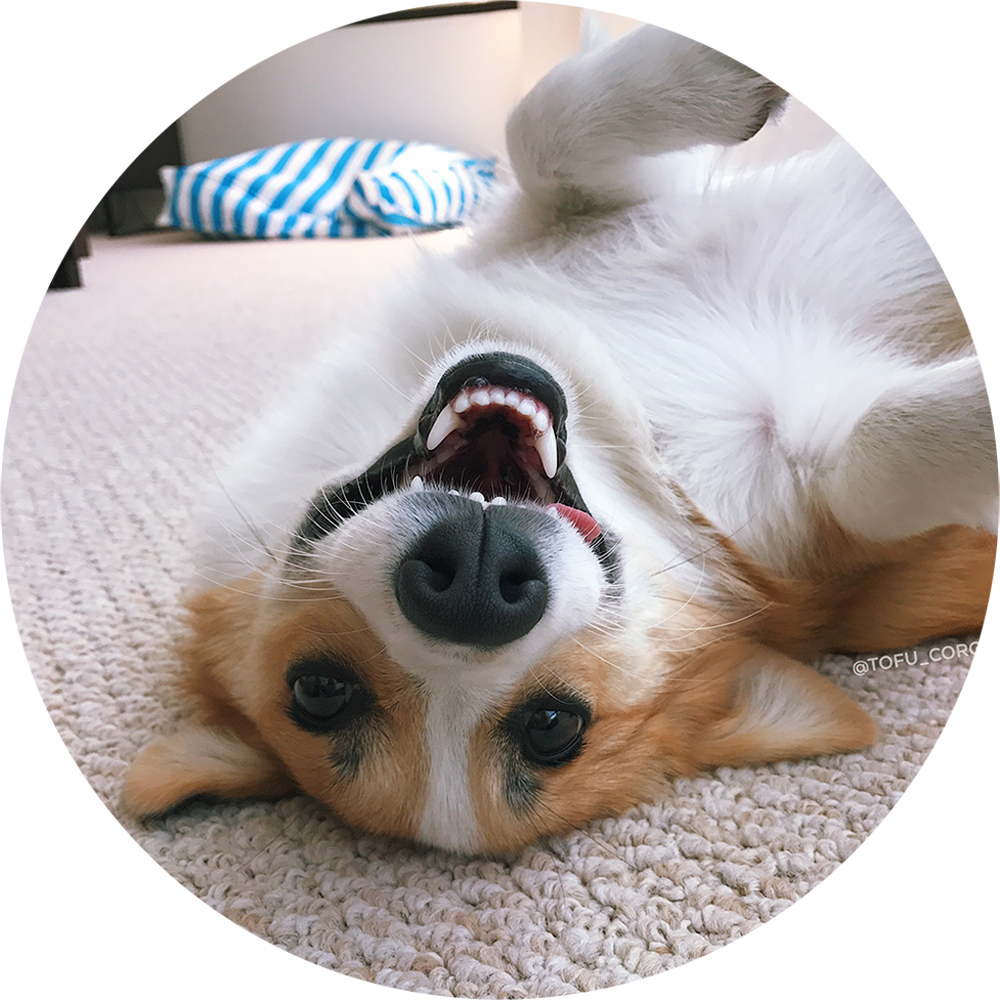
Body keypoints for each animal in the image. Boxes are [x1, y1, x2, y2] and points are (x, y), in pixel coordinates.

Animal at [121, 25, 996, 852]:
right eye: (319, 690)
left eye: (550, 727)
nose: (471, 587)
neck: (629, 414)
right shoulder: (816, 513)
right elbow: (877, 457)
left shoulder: (570, 214)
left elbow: (541, 125)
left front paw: (722, 67)